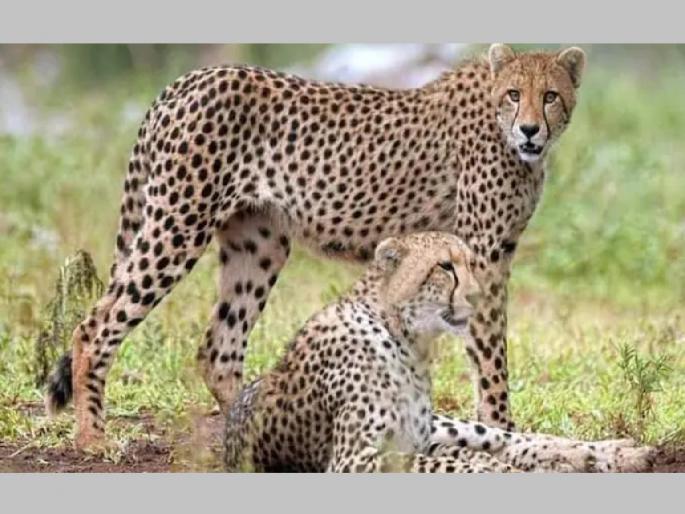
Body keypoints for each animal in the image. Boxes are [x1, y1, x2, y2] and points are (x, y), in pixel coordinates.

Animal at [45, 43, 587, 450]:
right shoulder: (483, 254)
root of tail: (187, 80)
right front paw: (501, 427)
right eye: (514, 94)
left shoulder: (494, 253)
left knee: (219, 348)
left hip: (259, 243)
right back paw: (93, 439)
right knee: (94, 327)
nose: (530, 129)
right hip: (179, 224)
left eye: (551, 96)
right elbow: (490, 354)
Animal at [223, 232, 653, 473]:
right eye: (445, 267)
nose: (479, 296)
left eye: (470, 264)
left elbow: (469, 456)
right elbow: (446, 463)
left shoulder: (413, 438)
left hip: (442, 424)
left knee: (509, 437)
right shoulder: (354, 459)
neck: (407, 339)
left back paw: (615, 453)